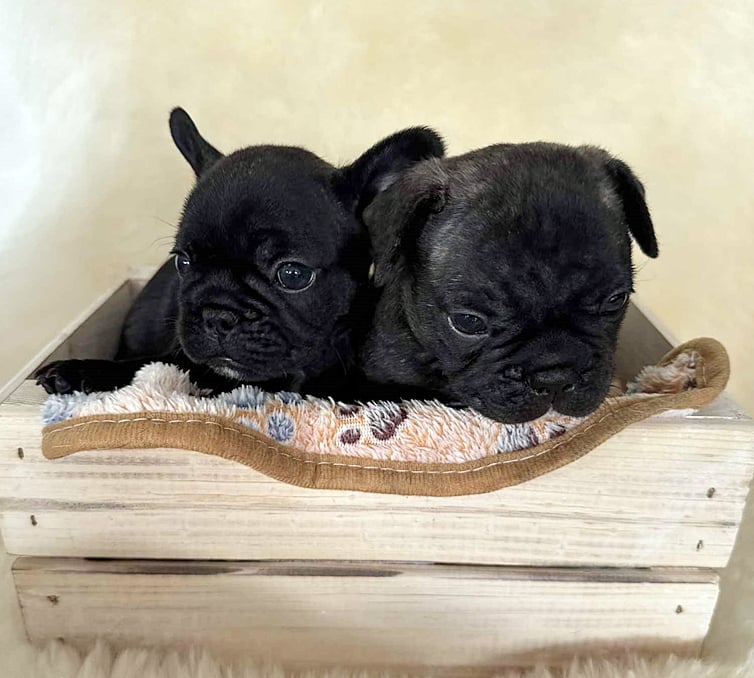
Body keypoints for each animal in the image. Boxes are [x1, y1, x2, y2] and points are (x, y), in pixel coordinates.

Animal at [35, 109, 444, 397]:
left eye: (293, 274)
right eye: (183, 261)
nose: (218, 314)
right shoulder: (177, 356)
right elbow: (150, 365)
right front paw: (81, 372)